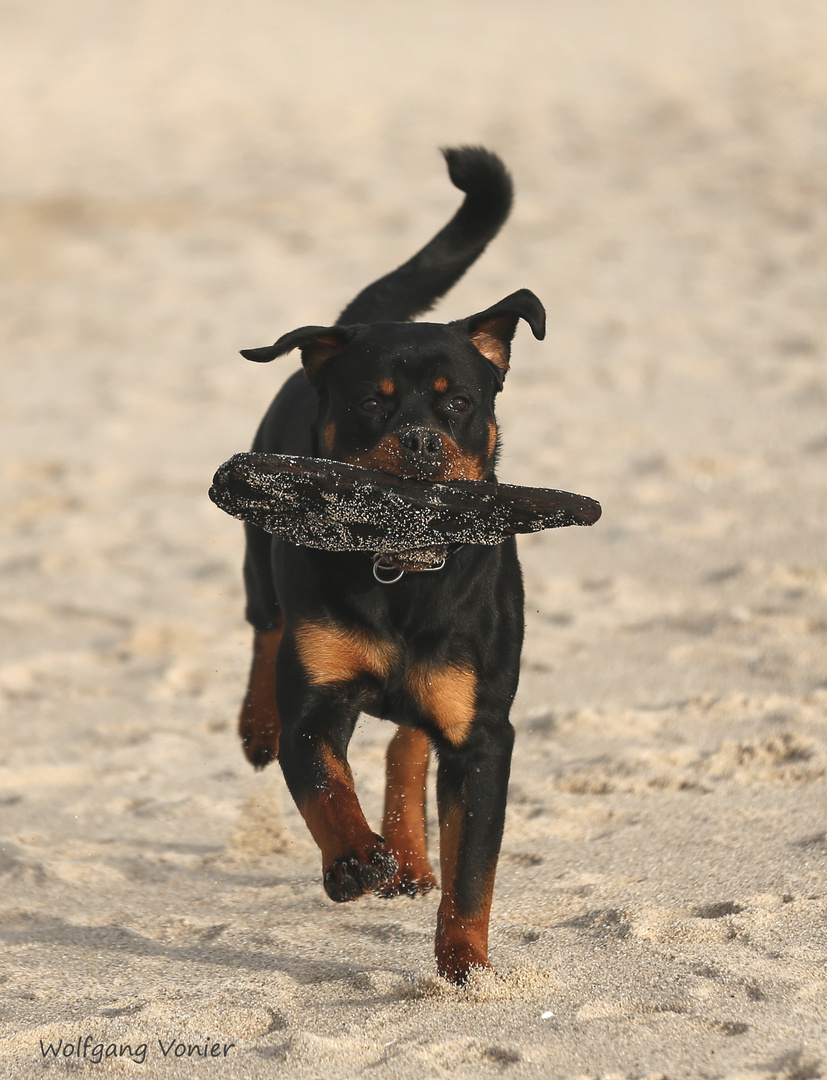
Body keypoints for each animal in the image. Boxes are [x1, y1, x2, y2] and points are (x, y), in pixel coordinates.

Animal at [236, 147, 548, 984]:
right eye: (373, 403)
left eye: (459, 402)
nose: (418, 440)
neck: (399, 563)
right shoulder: (319, 702)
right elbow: (322, 785)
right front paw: (353, 862)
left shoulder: (483, 735)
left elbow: (473, 865)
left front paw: (465, 963)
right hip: (259, 557)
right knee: (265, 627)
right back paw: (256, 726)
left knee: (409, 742)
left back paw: (409, 853)